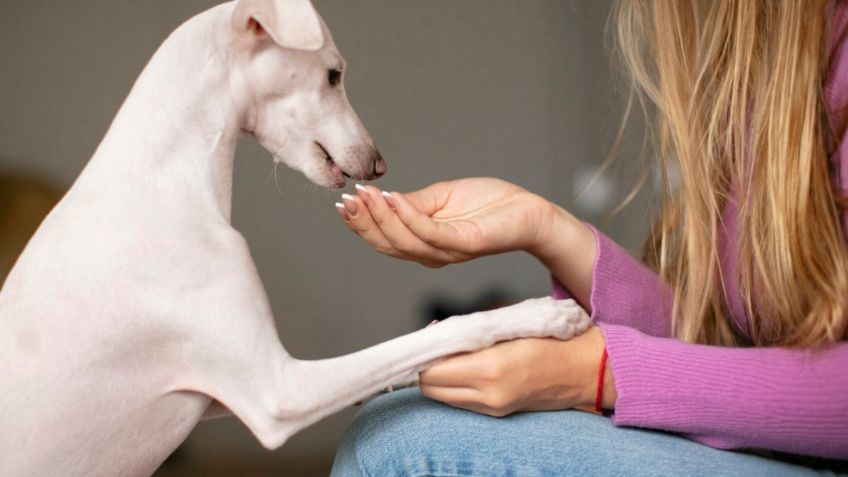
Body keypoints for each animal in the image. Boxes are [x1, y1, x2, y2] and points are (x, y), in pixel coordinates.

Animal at [0, 1, 592, 474]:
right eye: (333, 74)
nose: (378, 165)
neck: (159, 178)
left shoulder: (223, 397)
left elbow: (402, 353)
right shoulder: (278, 394)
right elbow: (436, 334)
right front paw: (540, 314)